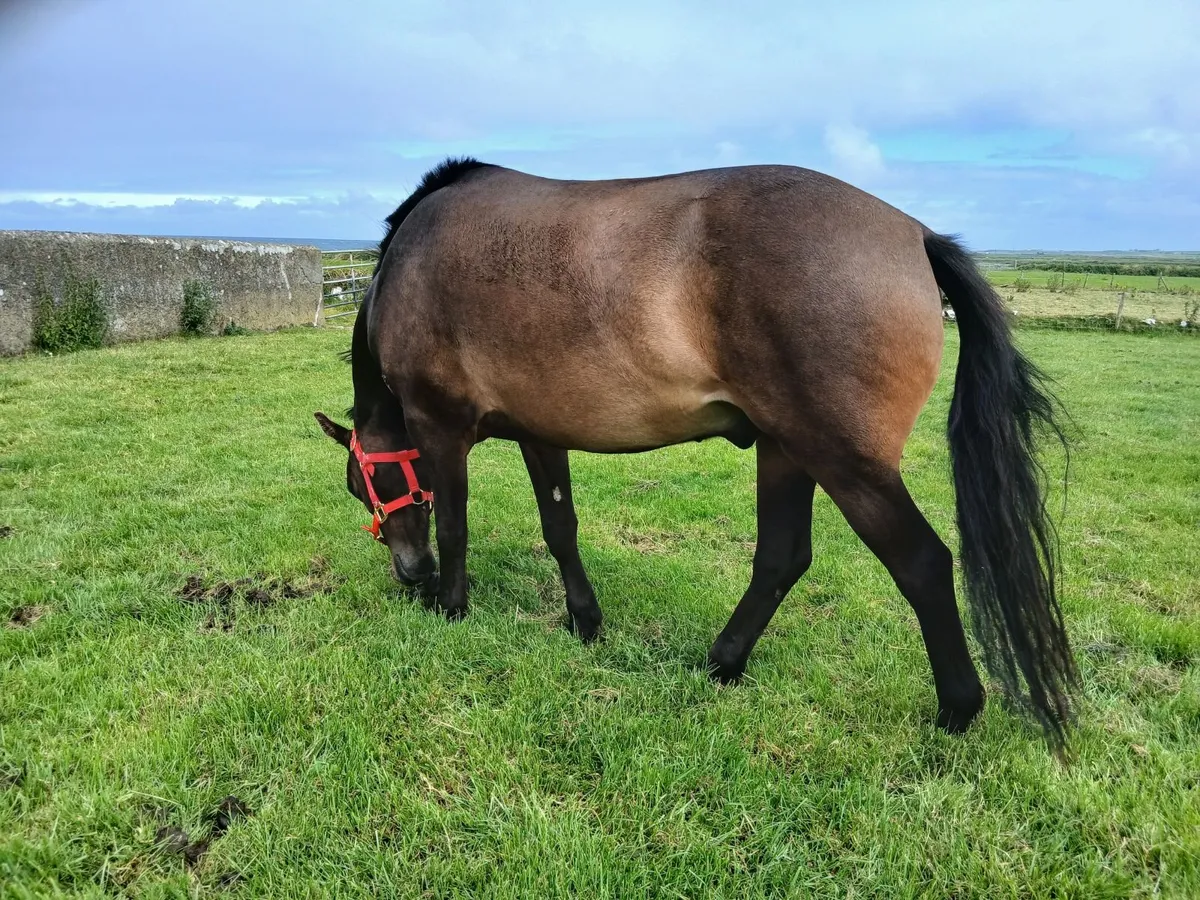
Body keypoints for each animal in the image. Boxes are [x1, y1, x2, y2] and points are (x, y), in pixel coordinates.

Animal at [314, 157, 1077, 750]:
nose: (409, 573)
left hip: (844, 461)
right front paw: (583, 620)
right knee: (781, 558)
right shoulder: (540, 430)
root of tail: (914, 234)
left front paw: (451, 608)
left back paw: (957, 709)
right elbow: (560, 527)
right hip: (785, 449)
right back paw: (722, 663)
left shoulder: (439, 425)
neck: (409, 263)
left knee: (921, 563)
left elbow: (455, 524)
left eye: (359, 484)